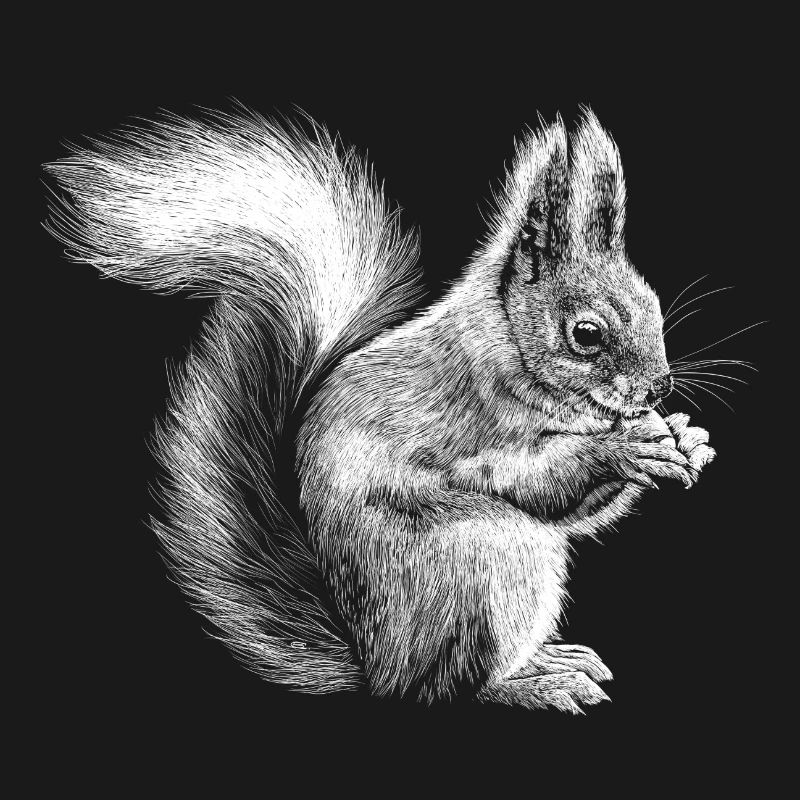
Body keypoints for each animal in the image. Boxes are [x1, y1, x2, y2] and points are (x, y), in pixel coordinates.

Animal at [44, 107, 716, 713]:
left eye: (653, 305)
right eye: (586, 334)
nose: (658, 389)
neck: (507, 345)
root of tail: (375, 664)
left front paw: (687, 437)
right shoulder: (478, 430)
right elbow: (536, 482)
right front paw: (625, 446)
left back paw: (552, 659)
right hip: (485, 560)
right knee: (448, 687)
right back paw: (535, 684)